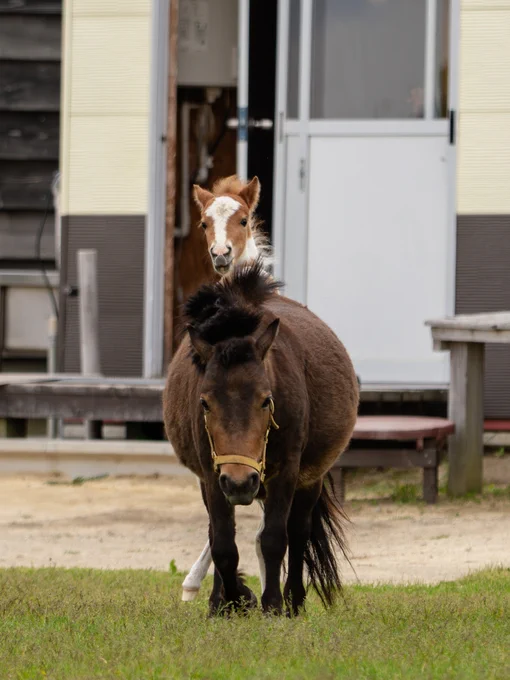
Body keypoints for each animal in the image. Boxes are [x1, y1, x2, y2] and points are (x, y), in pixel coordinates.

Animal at [163, 261, 359, 616]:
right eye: (204, 402)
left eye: (266, 400)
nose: (241, 482)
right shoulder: (212, 477)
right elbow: (223, 543)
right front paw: (230, 600)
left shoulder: (287, 475)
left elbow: (274, 539)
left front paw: (272, 605)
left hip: (309, 480)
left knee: (298, 533)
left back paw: (294, 600)